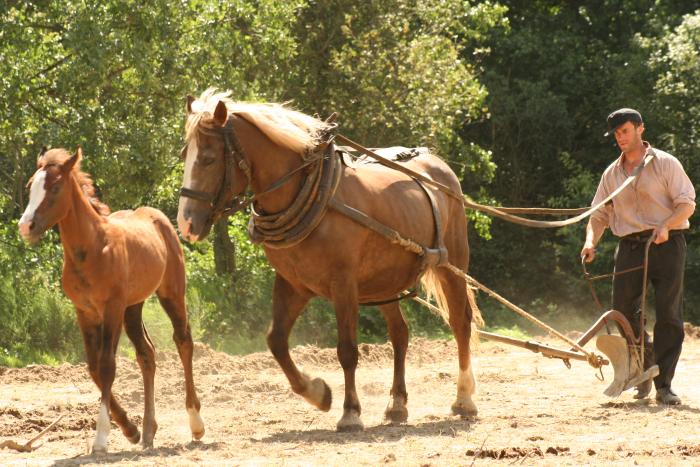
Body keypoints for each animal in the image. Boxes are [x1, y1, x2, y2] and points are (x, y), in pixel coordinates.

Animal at [17, 147, 204, 454]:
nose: (26, 226)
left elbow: (107, 366)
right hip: (133, 308)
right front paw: (130, 430)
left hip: (171, 293)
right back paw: (148, 431)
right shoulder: (85, 311)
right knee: (147, 353)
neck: (92, 249)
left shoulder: (111, 309)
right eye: (31, 185)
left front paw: (101, 438)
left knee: (183, 341)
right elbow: (94, 367)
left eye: (55, 187)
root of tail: (159, 219)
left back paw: (196, 423)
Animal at [178, 89, 478, 434]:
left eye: (209, 158)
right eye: (185, 154)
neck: (312, 192)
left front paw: (350, 412)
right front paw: (317, 393)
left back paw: (464, 398)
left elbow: (347, 350)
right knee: (400, 333)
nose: (185, 224)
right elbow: (276, 341)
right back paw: (397, 405)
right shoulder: (292, 283)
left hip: (452, 265)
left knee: (460, 322)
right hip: (384, 281)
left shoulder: (343, 284)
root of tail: (439, 166)